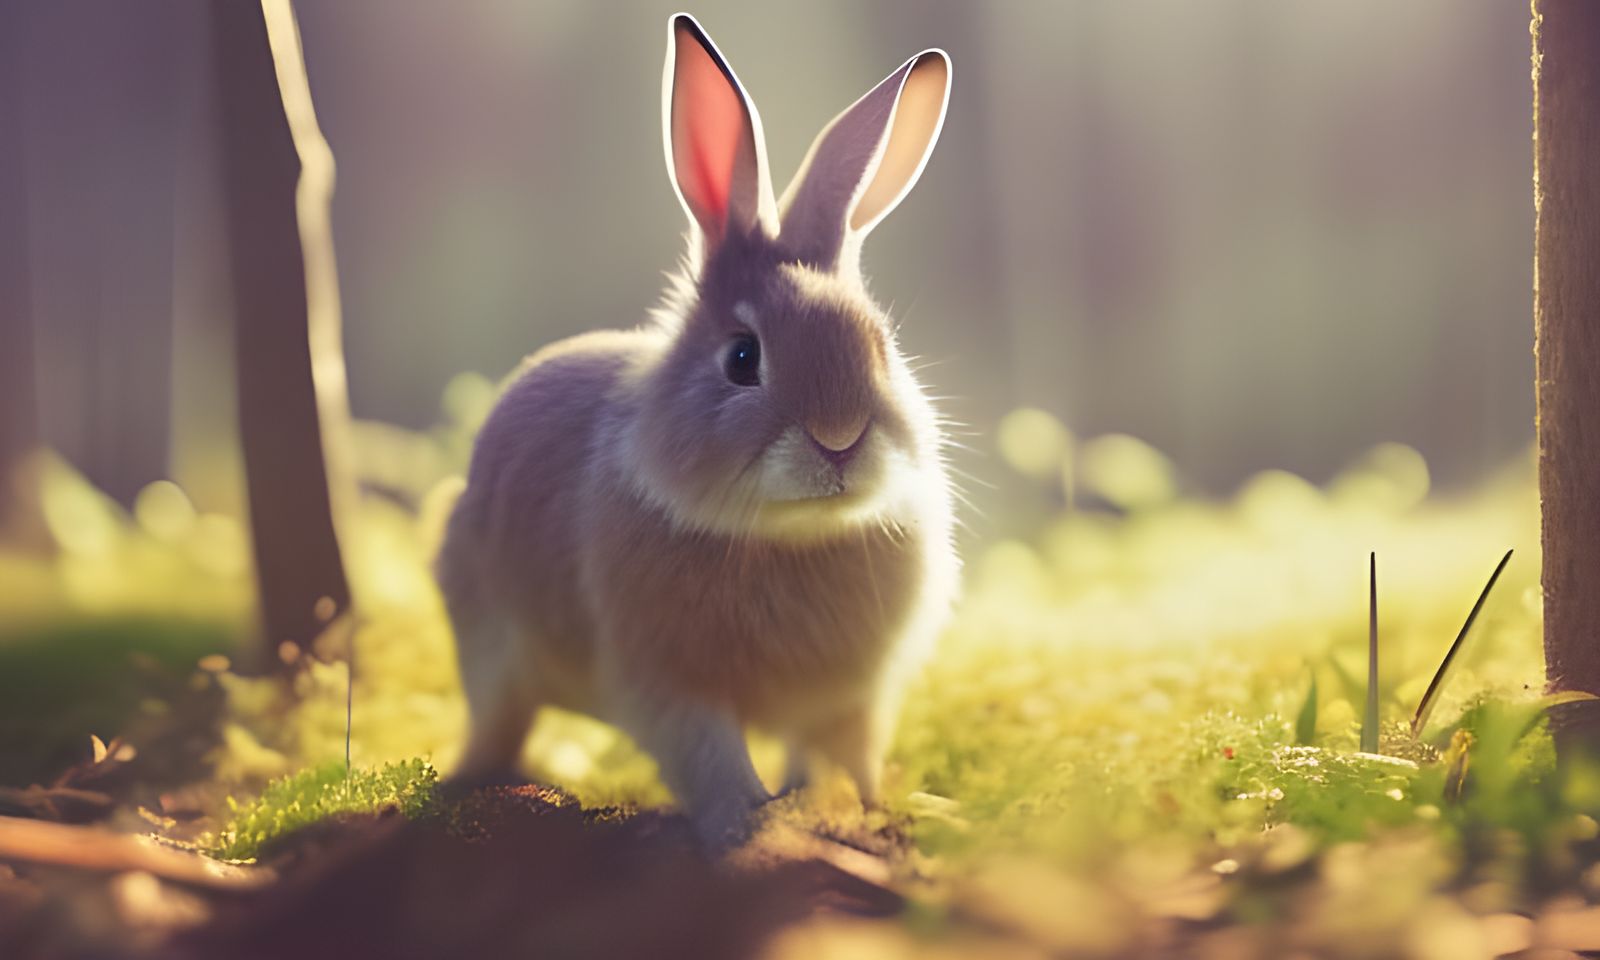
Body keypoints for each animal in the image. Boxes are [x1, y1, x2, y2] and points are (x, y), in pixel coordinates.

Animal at [435, 12, 958, 849]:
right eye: (743, 359)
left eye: (881, 346)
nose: (840, 437)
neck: (789, 535)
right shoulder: (669, 684)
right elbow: (710, 755)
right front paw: (746, 822)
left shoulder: (854, 698)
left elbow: (847, 754)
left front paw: (868, 812)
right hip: (488, 640)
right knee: (497, 721)